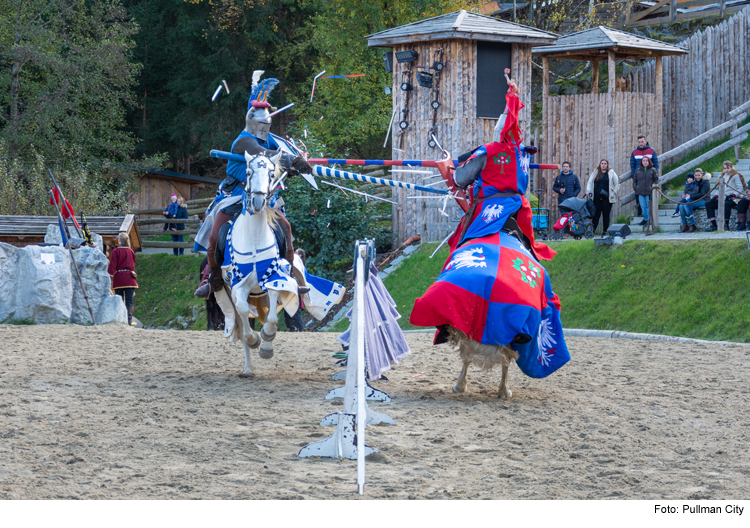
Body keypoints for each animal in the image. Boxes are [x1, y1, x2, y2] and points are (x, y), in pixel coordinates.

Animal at [212, 151, 300, 378]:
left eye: (271, 173)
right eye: (249, 172)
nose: (259, 201)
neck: (253, 240)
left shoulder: (273, 280)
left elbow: (272, 319)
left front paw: (267, 340)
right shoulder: (238, 287)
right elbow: (244, 313)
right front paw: (254, 340)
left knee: (267, 314)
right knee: (241, 323)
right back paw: (248, 368)